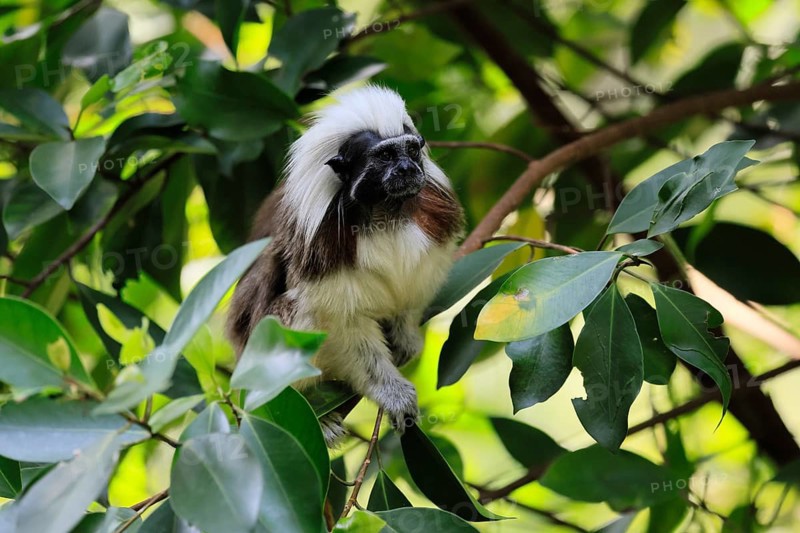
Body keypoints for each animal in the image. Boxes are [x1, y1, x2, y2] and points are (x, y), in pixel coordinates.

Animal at [227, 86, 464, 445]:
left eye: (411, 150)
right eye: (385, 156)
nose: (408, 169)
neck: (384, 213)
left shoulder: (434, 221)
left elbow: (412, 292)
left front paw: (404, 334)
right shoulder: (321, 253)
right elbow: (344, 328)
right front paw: (392, 393)